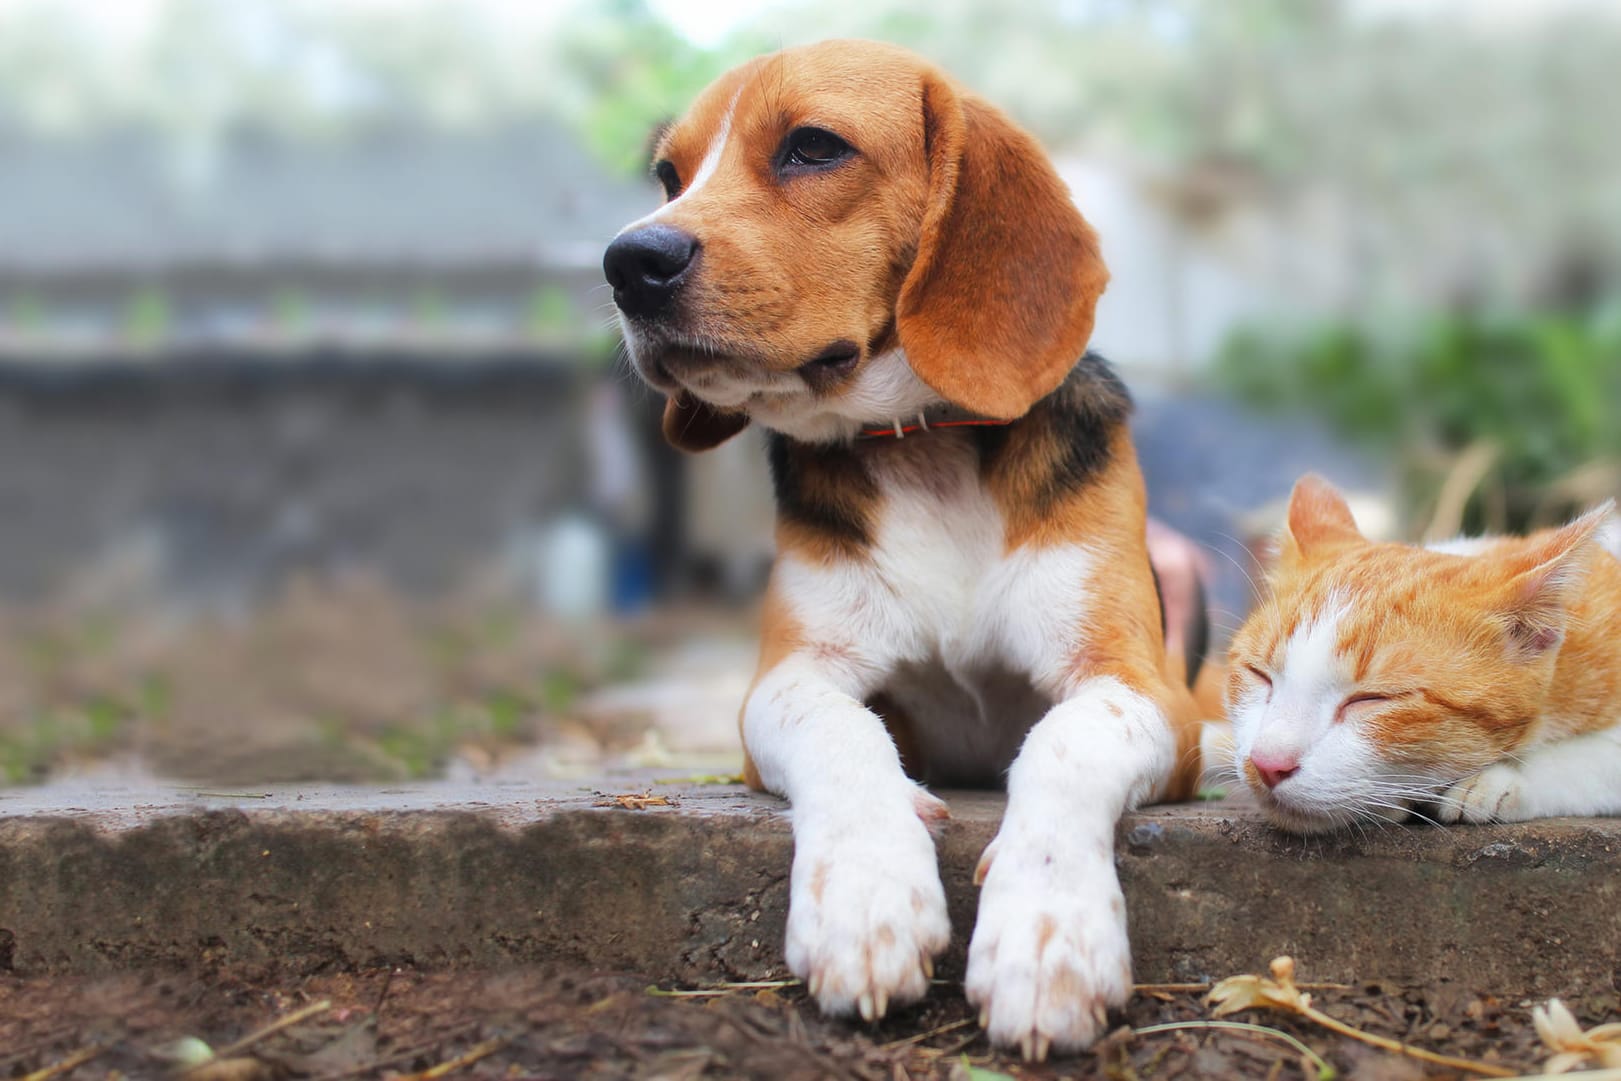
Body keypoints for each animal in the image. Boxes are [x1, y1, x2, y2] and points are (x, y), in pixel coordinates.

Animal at [606, 40, 1206, 1056]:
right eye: (667, 177)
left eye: (813, 146)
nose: (626, 261)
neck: (922, 445)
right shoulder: (788, 679)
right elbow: (843, 733)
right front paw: (864, 896)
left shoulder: (1143, 687)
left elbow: (1064, 741)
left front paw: (1047, 933)